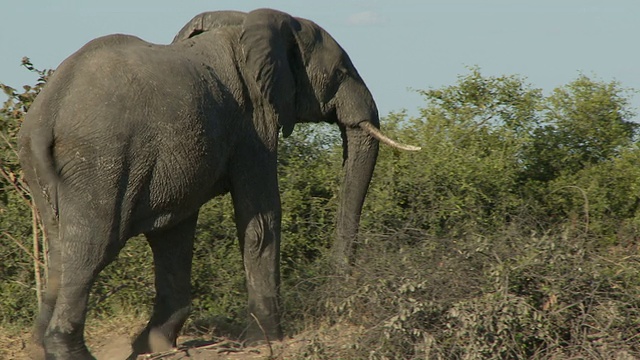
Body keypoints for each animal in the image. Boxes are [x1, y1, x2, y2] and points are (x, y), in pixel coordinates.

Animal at [16, 8, 420, 360]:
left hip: (46, 167)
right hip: (101, 159)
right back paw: (69, 352)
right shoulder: (253, 123)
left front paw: (155, 345)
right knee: (92, 246)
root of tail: (47, 112)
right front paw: (265, 341)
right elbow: (261, 217)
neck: (246, 25)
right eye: (340, 71)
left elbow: (174, 232)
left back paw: (39, 349)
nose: (337, 296)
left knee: (59, 247)